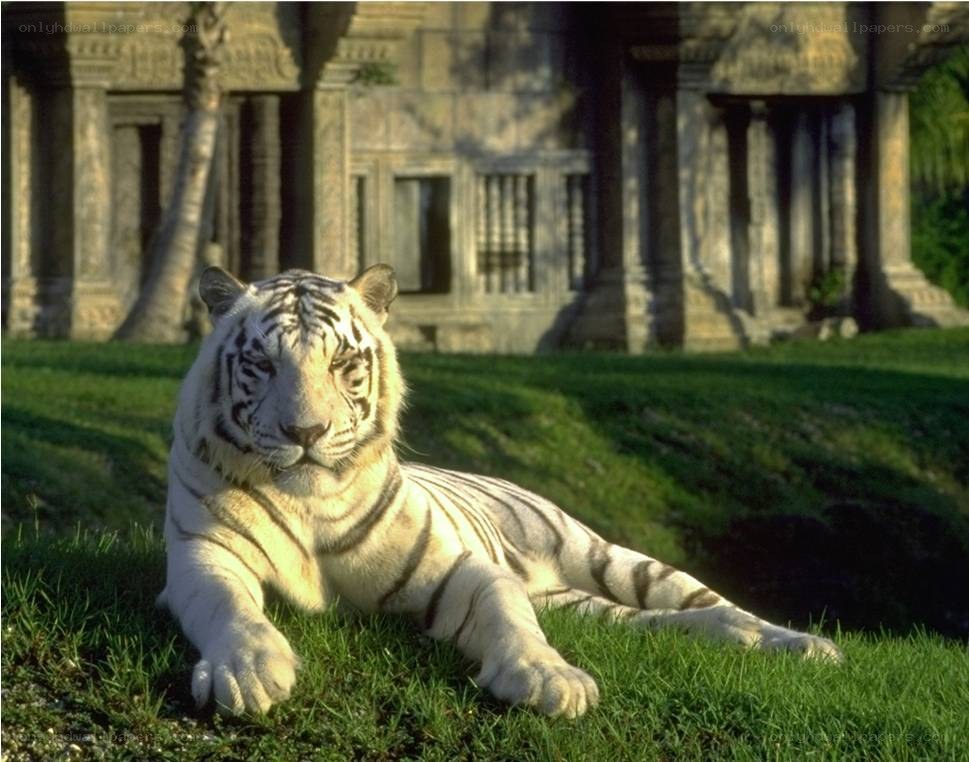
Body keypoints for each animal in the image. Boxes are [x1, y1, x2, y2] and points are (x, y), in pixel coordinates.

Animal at [157, 264, 842, 719]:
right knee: (661, 623)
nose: (305, 433)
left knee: (716, 602)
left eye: (340, 365)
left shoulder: (458, 569)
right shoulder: (203, 558)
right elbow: (229, 607)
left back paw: (803, 645)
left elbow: (509, 617)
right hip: (584, 605)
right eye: (262, 365)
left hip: (609, 559)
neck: (310, 502)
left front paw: (550, 679)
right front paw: (248, 670)